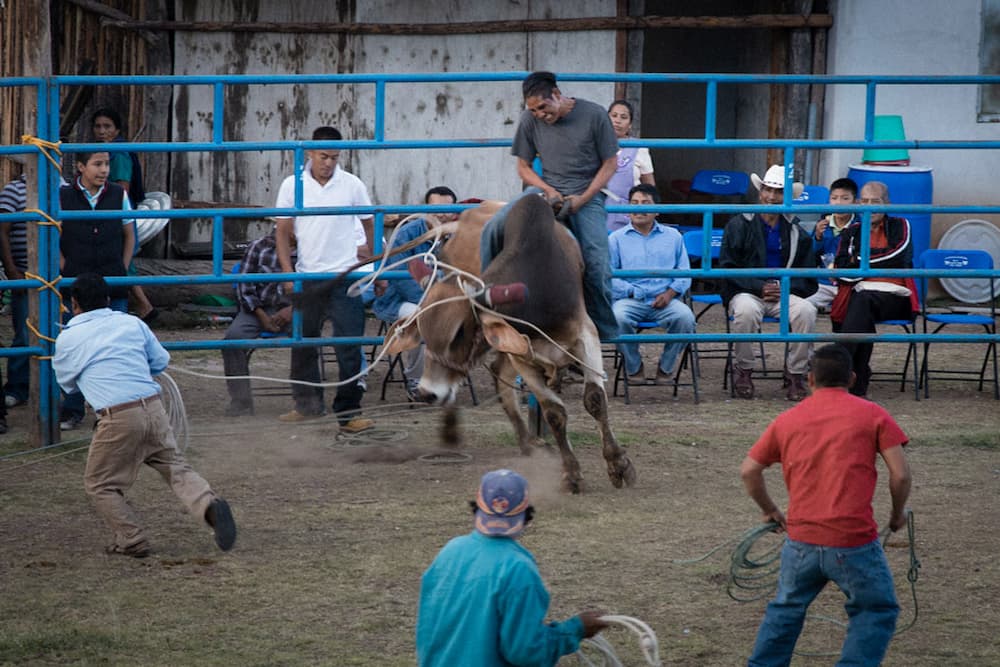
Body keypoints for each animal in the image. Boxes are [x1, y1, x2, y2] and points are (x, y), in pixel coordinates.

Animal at [332, 196, 632, 494]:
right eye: (424, 333)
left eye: (458, 333)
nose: (427, 393)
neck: (539, 285)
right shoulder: (524, 355)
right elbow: (554, 413)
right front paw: (571, 474)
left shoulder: (585, 335)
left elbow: (594, 399)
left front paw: (618, 465)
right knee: (501, 378)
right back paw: (528, 443)